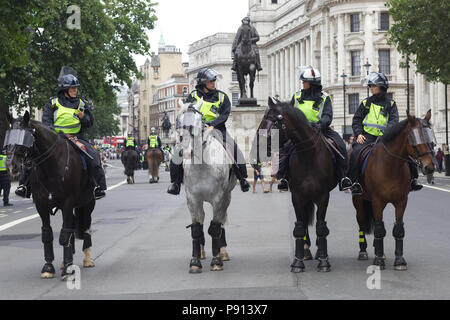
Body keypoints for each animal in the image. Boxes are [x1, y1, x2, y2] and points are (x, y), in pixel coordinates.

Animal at [4, 112, 96, 280]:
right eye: (9, 135)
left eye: (25, 137)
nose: (10, 166)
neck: (51, 166)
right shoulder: (41, 205)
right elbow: (47, 234)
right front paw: (49, 267)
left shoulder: (67, 203)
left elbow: (65, 234)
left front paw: (68, 269)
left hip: (88, 203)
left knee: (85, 226)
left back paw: (87, 258)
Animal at [178, 98, 237, 272]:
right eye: (179, 122)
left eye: (198, 122)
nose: (186, 151)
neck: (203, 165)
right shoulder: (192, 199)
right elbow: (196, 229)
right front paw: (195, 261)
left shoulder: (218, 198)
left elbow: (215, 227)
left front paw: (216, 260)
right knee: (202, 218)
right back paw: (202, 252)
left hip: (226, 197)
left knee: (221, 221)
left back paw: (222, 252)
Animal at [255, 97, 340, 272]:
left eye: (272, 122)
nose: (257, 148)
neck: (308, 155)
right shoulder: (298, 196)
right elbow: (300, 227)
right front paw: (298, 262)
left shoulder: (323, 196)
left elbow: (321, 227)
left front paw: (323, 261)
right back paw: (306, 252)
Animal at [352, 110, 436, 270]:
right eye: (415, 139)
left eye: (431, 138)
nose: (430, 167)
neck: (391, 166)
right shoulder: (377, 201)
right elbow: (379, 229)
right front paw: (378, 260)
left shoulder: (401, 201)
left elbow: (398, 229)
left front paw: (399, 260)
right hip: (359, 200)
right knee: (361, 221)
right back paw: (363, 251)